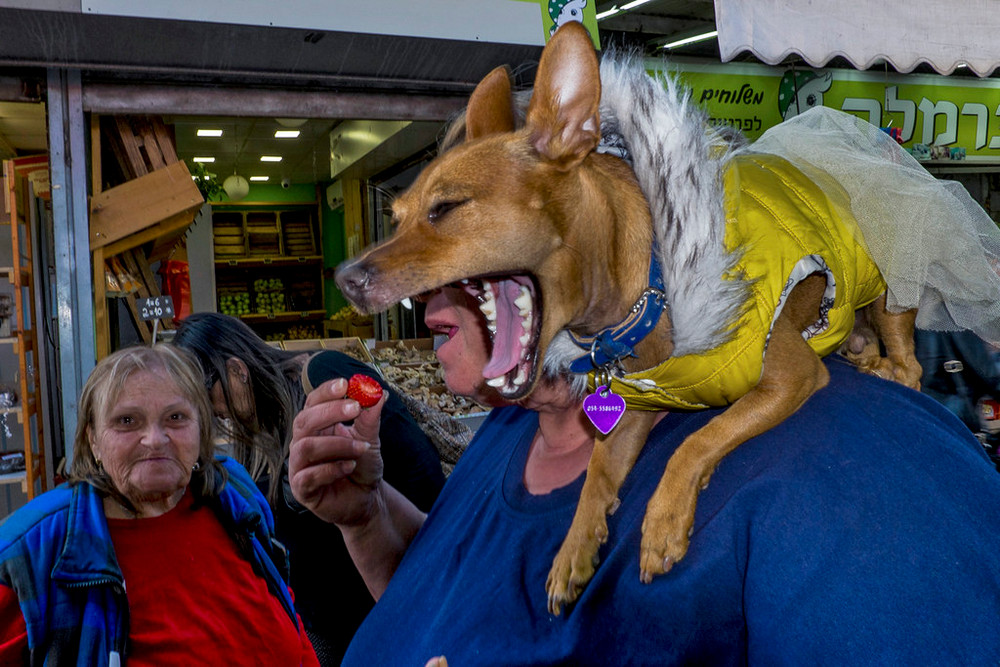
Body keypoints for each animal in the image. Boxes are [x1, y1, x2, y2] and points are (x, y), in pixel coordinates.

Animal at [334, 20, 920, 616]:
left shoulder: (790, 377)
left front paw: (662, 521)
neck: (641, 303)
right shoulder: (634, 409)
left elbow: (698, 439)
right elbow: (596, 473)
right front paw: (574, 549)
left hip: (890, 285)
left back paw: (890, 366)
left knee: (909, 353)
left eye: (447, 208)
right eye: (397, 216)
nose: (346, 278)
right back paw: (861, 350)